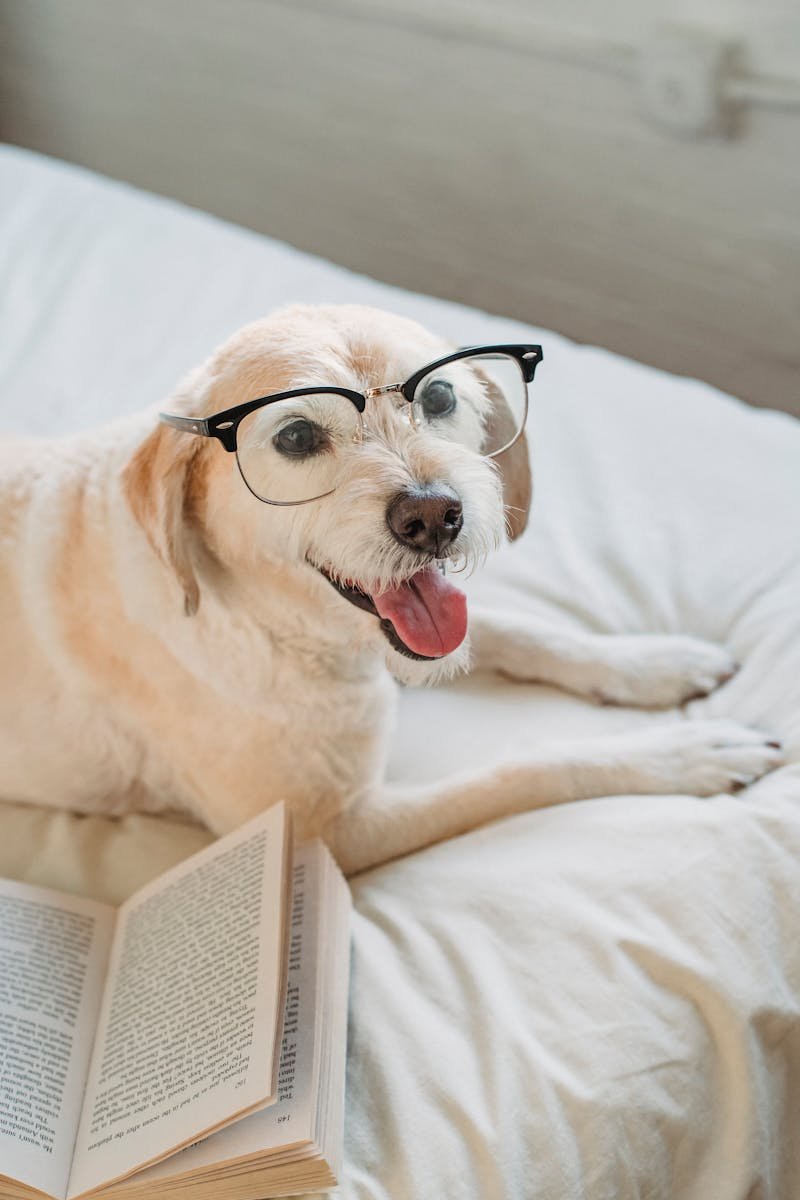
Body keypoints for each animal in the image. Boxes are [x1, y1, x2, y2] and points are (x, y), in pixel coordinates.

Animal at [0, 304, 782, 873]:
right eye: (294, 437)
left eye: (437, 394)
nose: (434, 517)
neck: (278, 624)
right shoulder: (330, 832)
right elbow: (523, 771)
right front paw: (679, 754)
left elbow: (524, 630)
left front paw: (649, 662)